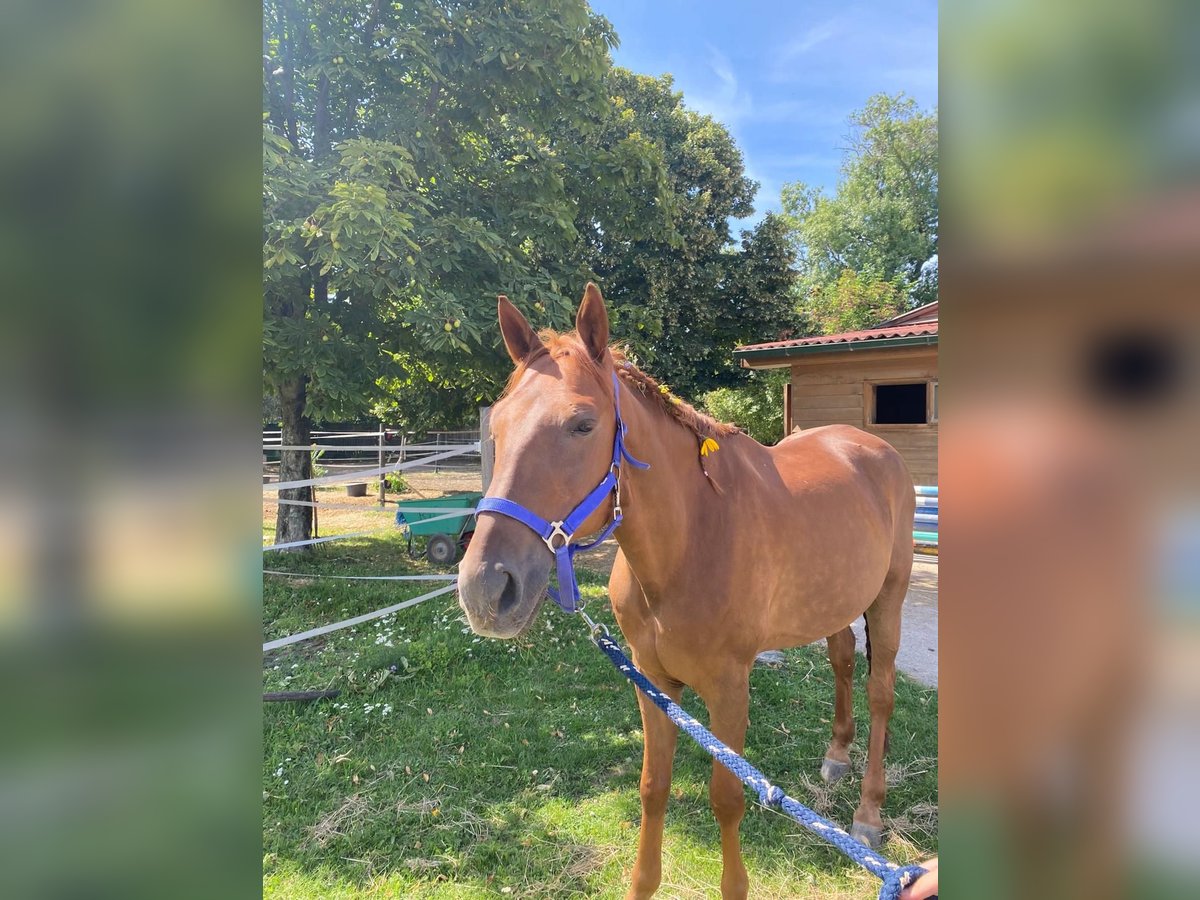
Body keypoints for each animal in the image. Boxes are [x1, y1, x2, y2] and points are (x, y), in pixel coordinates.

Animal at [460, 283, 916, 900]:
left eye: (582, 424)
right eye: (499, 426)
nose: (485, 588)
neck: (689, 541)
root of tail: (875, 450)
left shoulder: (729, 688)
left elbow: (727, 798)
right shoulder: (652, 680)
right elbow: (654, 786)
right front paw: (642, 883)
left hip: (888, 598)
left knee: (880, 693)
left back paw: (867, 815)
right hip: (835, 601)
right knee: (843, 660)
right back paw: (836, 757)